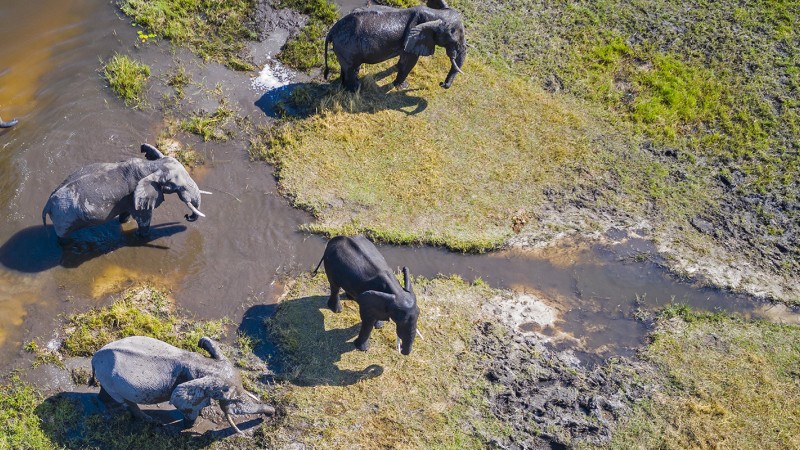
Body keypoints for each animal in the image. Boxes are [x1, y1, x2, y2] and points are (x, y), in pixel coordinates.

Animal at [43, 143, 209, 243]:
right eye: (176, 186)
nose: (186, 216)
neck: (153, 165)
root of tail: (47, 205)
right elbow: (144, 221)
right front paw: (143, 237)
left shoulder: (129, 198)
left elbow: (126, 214)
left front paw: (124, 222)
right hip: (63, 218)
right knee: (63, 237)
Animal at [91, 336, 276, 434]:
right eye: (227, 397)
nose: (272, 413)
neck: (205, 364)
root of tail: (94, 357)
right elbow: (189, 410)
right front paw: (187, 428)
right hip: (111, 381)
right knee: (127, 402)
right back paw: (151, 421)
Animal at [322, 0, 466, 92]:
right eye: (453, 40)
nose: (441, 83)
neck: (436, 14)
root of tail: (331, 31)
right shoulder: (412, 38)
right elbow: (410, 62)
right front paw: (403, 87)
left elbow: (405, 60)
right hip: (347, 47)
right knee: (351, 68)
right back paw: (356, 90)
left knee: (348, 68)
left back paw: (344, 86)